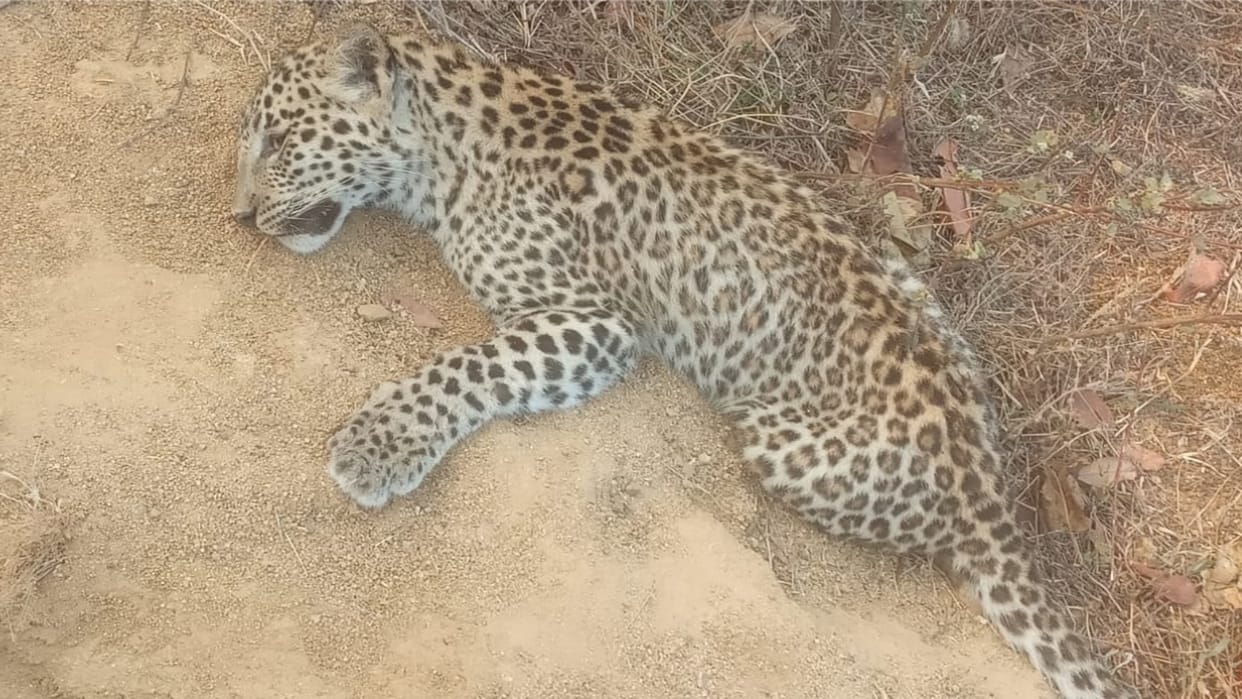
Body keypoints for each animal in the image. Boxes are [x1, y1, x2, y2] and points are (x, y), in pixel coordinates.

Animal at [231, 23, 1138, 699]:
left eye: (279, 140)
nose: (236, 215)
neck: (448, 144)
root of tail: (989, 491)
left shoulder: (594, 321)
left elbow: (472, 366)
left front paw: (375, 445)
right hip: (910, 283)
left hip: (777, 442)